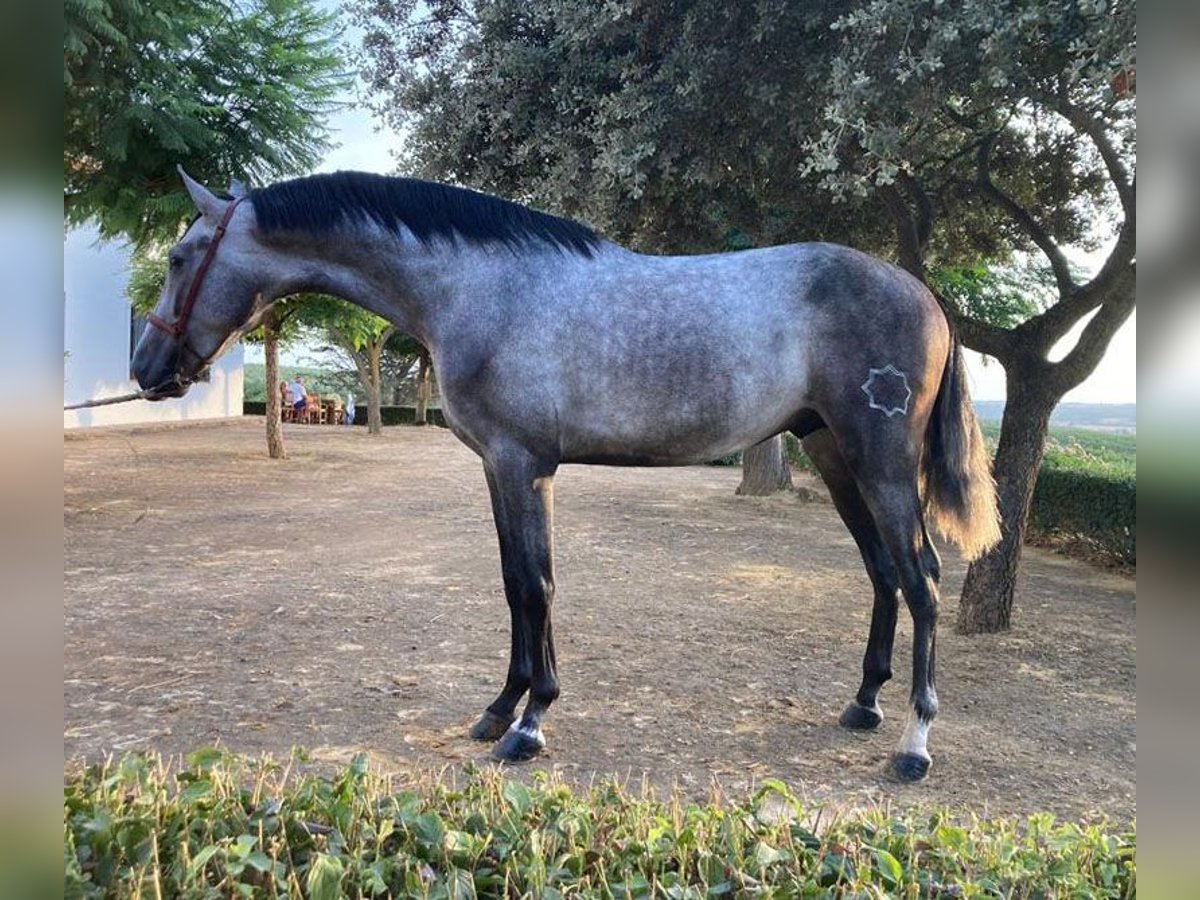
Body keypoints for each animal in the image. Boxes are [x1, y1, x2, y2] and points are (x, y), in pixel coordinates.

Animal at [131, 170, 998, 782]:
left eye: (178, 257)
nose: (146, 369)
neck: (480, 286)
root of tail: (924, 295)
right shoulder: (506, 468)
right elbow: (520, 581)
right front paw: (502, 709)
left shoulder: (520, 464)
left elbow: (534, 584)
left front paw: (529, 724)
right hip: (835, 455)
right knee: (883, 574)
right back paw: (863, 706)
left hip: (882, 462)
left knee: (921, 578)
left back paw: (915, 742)